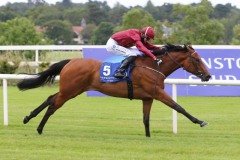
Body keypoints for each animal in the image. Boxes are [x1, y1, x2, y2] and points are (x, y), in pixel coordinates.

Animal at [17, 43, 211, 138]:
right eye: (196, 59)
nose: (208, 76)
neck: (154, 66)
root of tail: (71, 61)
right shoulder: (158, 93)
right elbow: (179, 107)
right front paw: (200, 121)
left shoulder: (148, 98)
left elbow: (146, 119)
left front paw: (148, 137)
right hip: (70, 91)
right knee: (53, 106)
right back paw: (39, 128)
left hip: (71, 90)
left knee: (50, 98)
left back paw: (27, 118)